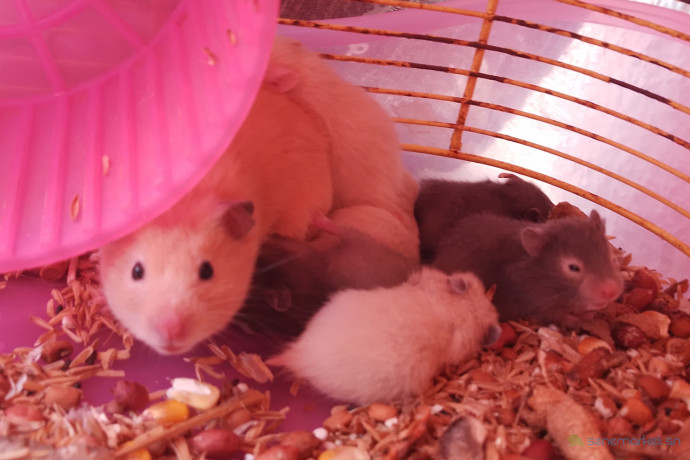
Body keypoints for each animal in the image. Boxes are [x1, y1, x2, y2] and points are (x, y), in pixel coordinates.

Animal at [432, 211, 624, 327]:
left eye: (612, 257)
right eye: (573, 267)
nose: (611, 291)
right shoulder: (538, 306)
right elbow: (563, 317)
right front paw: (586, 318)